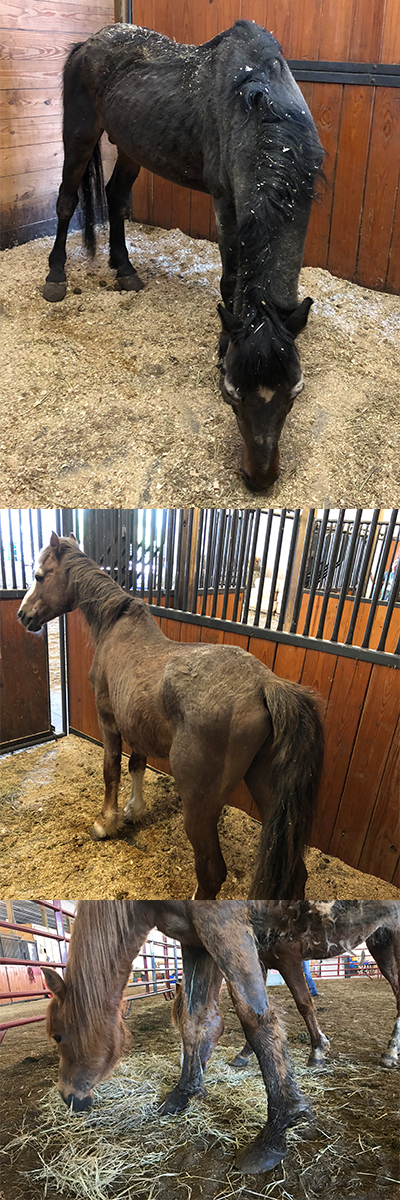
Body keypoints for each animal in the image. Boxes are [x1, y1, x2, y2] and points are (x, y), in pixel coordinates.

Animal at [17, 532, 324, 902]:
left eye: (39, 576)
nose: (22, 615)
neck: (116, 627)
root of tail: (265, 684)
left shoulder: (109, 720)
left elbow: (111, 769)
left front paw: (106, 823)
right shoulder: (136, 724)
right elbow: (136, 764)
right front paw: (134, 810)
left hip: (199, 804)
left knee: (211, 873)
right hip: (265, 787)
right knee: (296, 872)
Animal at [42, 20, 324, 490]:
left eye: (294, 394)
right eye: (230, 395)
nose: (259, 479)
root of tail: (88, 43)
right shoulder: (226, 200)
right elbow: (230, 278)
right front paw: (222, 343)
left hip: (131, 146)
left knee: (115, 197)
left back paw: (125, 270)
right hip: (79, 134)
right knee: (66, 201)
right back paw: (55, 277)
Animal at [42, 899, 400, 1176]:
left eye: (58, 1036)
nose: (68, 1097)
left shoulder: (234, 930)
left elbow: (260, 1016)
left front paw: (277, 1129)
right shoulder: (197, 941)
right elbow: (194, 1019)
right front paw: (183, 1093)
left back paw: (389, 1053)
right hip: (382, 941)